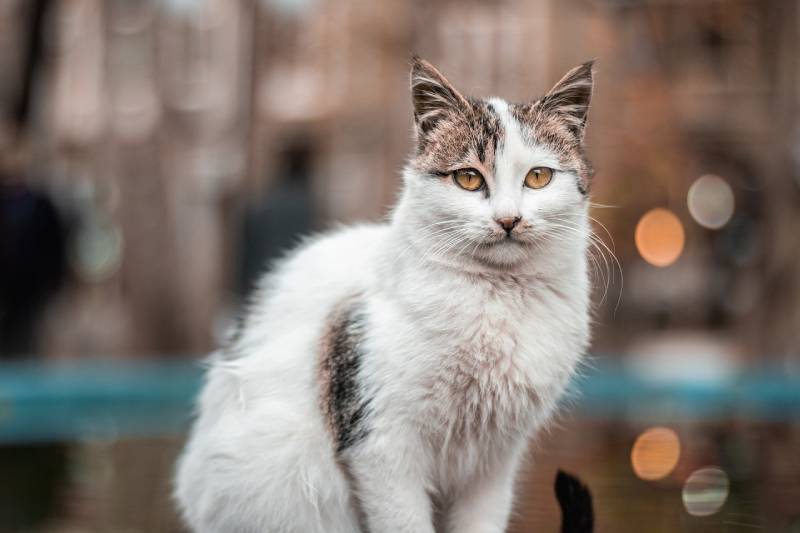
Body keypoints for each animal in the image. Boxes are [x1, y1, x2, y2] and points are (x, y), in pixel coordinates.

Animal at [175, 58, 592, 532]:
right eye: (468, 179)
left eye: (538, 177)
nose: (509, 219)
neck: (496, 299)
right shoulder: (382, 444)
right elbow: (405, 522)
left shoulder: (494, 461)